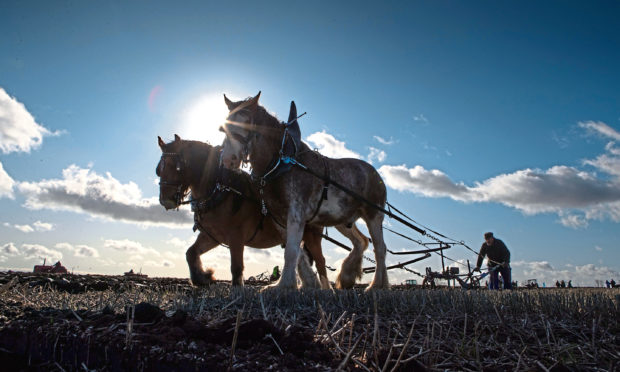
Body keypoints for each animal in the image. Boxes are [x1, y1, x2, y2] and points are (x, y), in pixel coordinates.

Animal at [218, 92, 388, 290]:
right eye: (224, 127)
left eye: (247, 122)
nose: (228, 160)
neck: (282, 162)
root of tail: (374, 172)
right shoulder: (279, 218)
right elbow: (296, 252)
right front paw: (292, 283)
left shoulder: (296, 214)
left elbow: (291, 251)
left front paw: (283, 285)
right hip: (343, 220)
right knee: (361, 242)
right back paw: (350, 276)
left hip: (374, 215)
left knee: (380, 248)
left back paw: (376, 285)